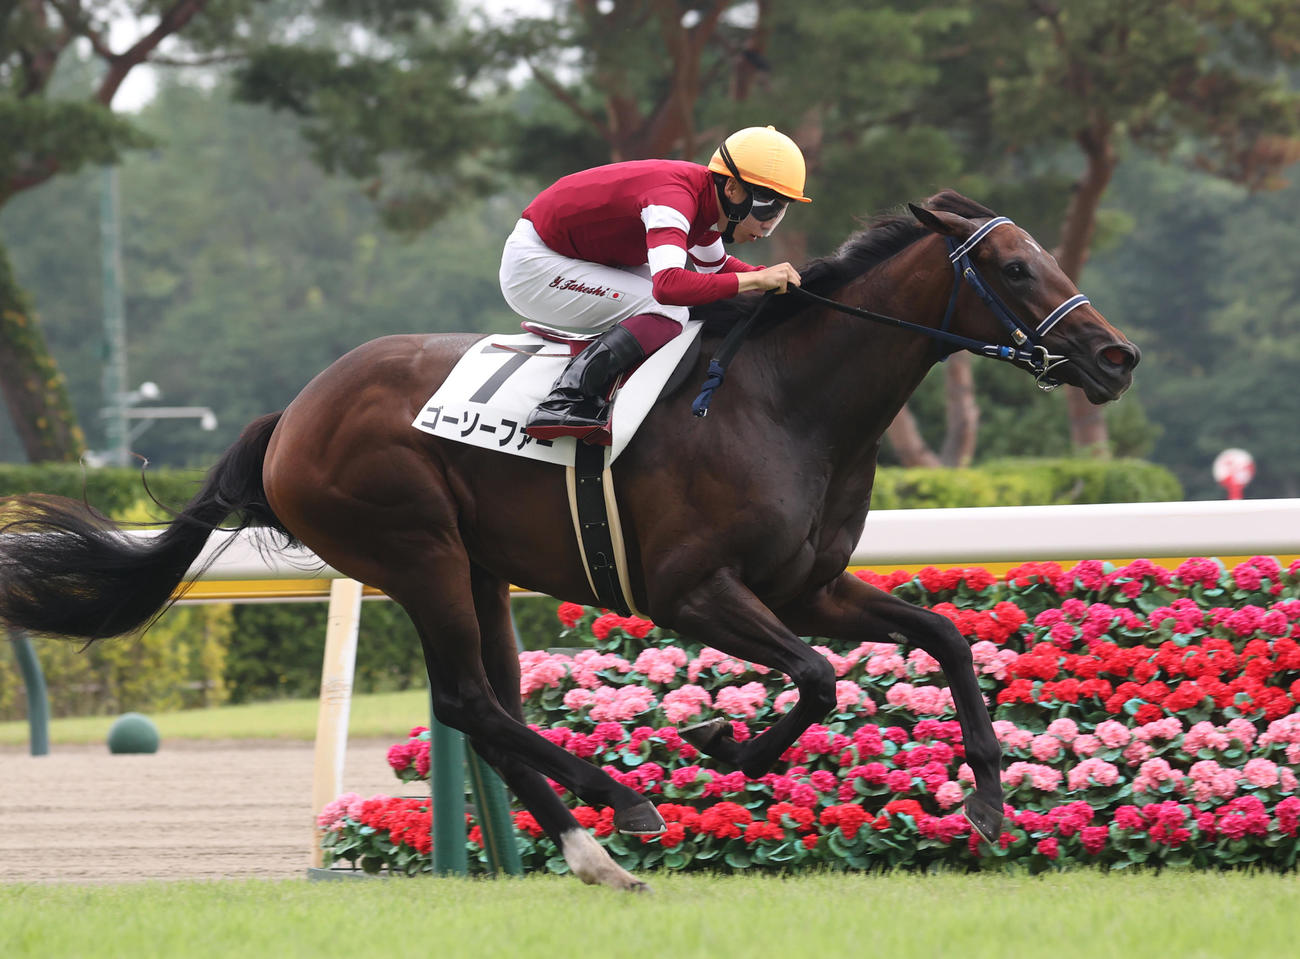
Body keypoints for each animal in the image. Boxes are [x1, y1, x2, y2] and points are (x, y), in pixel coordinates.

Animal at [0, 191, 1138, 891]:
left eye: (1042, 256)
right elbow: (817, 677)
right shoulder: (689, 589)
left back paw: (595, 850)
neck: (785, 401)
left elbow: (941, 638)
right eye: (1013, 265)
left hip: (477, 569)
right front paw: (722, 742)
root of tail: (289, 416)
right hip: (416, 550)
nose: (1116, 355)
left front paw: (986, 801)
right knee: (471, 700)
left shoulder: (806, 585)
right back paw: (622, 802)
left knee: (490, 705)